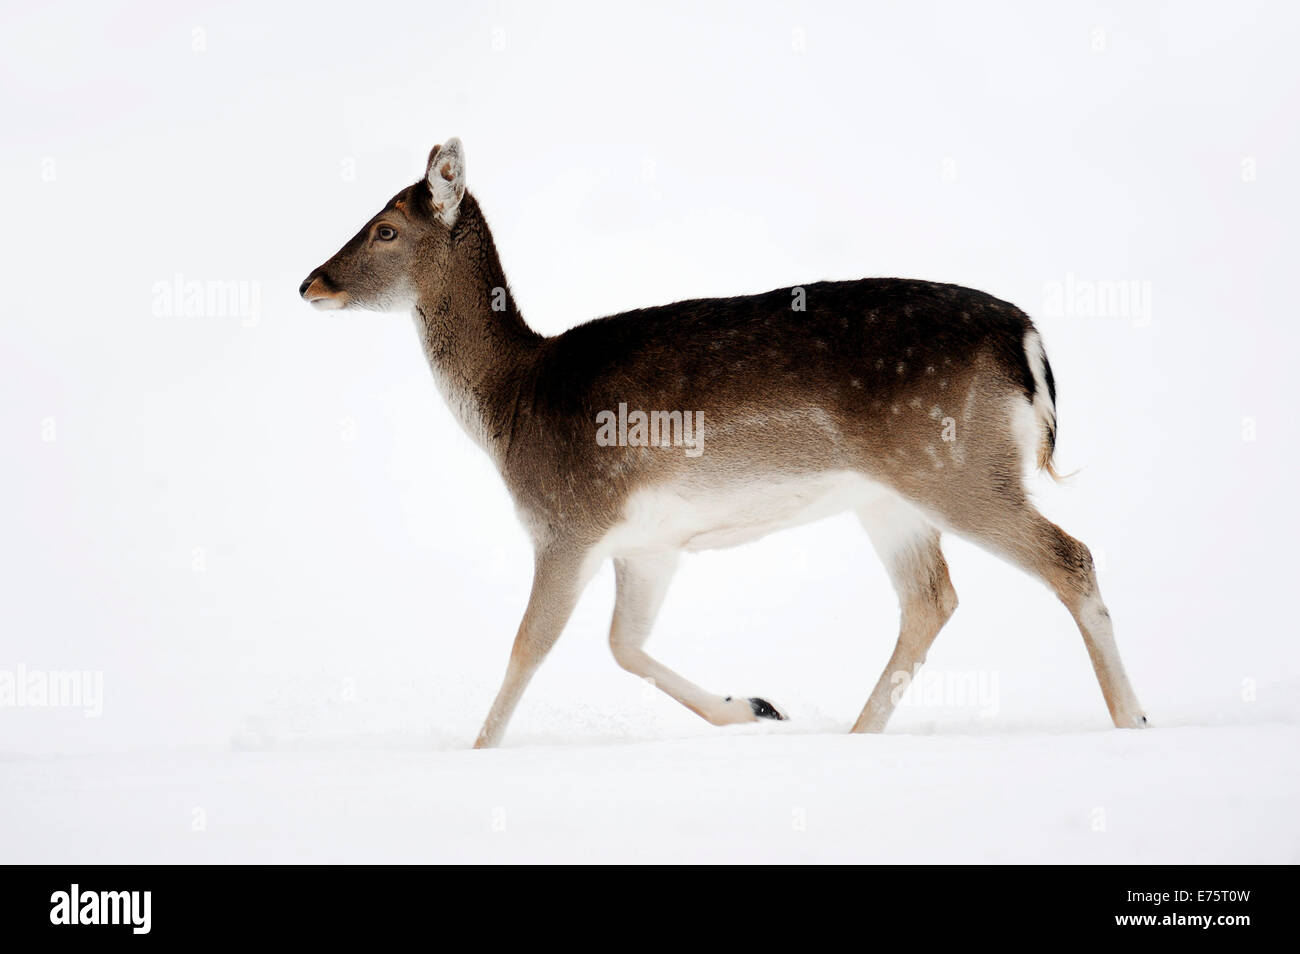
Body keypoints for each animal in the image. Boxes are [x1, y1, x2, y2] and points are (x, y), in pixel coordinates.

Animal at [297, 138, 1149, 748]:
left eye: (386, 228)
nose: (311, 282)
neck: (513, 401)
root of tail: (1028, 342)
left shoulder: (567, 523)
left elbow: (530, 645)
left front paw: (478, 752)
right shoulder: (649, 544)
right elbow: (623, 644)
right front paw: (756, 706)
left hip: (959, 466)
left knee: (1070, 557)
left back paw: (1132, 722)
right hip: (892, 498)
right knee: (931, 598)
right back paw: (856, 734)